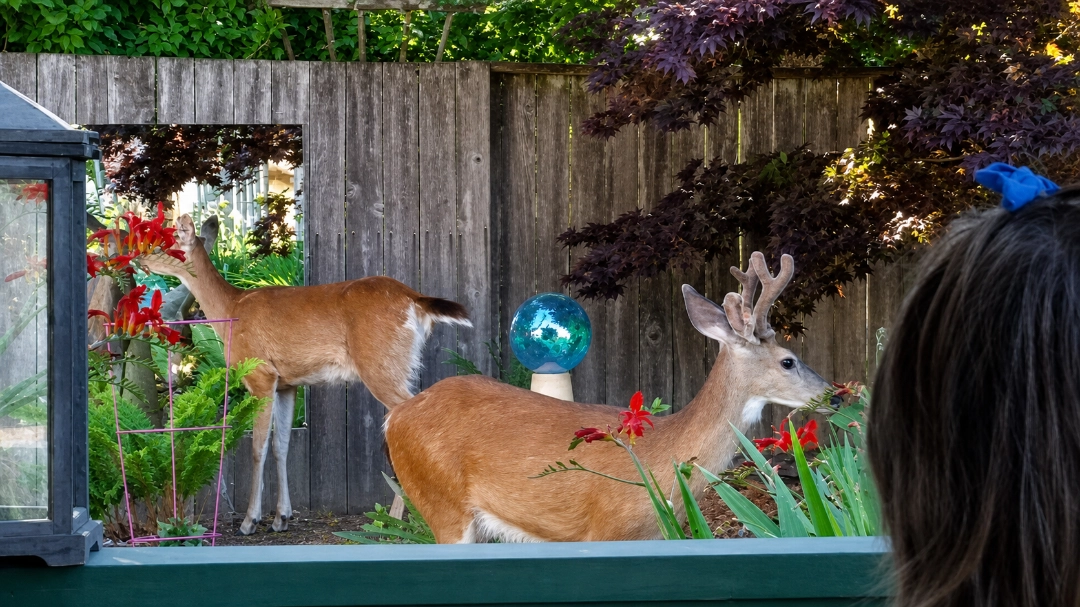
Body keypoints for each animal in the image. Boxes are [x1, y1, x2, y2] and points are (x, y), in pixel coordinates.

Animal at [140, 214, 472, 535]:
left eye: (165, 242)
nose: (140, 259)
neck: (231, 310)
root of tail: (415, 299)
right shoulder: (287, 384)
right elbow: (282, 446)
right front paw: (281, 518)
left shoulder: (261, 375)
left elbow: (258, 448)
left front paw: (250, 521)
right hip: (400, 364)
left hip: (381, 363)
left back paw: (400, 522)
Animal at [384, 251, 834, 542]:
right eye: (789, 361)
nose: (831, 394)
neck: (662, 461)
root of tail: (398, 415)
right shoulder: (606, 529)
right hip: (441, 501)